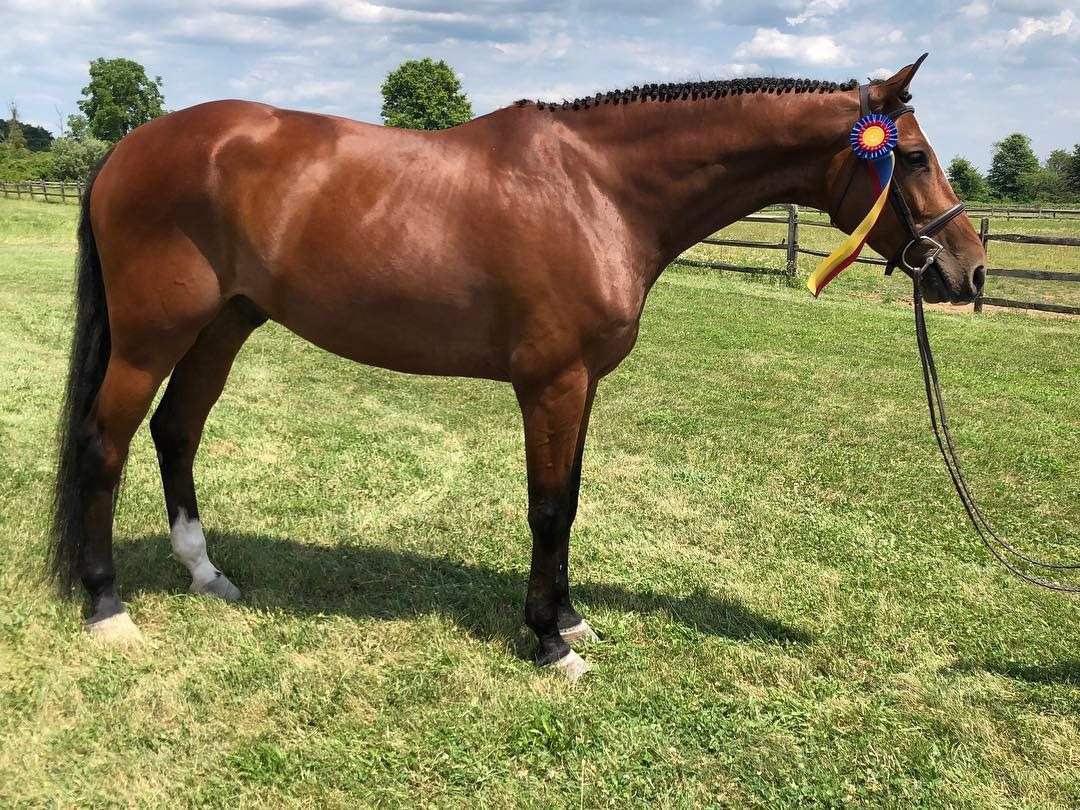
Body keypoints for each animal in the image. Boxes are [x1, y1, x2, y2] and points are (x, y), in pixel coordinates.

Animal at [49, 55, 985, 680]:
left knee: (176, 431)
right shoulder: (552, 383)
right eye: (909, 157)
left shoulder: (583, 385)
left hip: (224, 326)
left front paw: (570, 619)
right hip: (152, 336)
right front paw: (546, 641)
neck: (599, 189)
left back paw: (207, 574)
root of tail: (126, 149)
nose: (968, 272)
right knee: (105, 445)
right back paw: (106, 607)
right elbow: (547, 508)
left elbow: (569, 502)